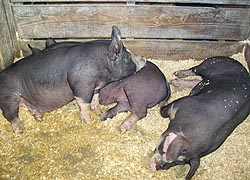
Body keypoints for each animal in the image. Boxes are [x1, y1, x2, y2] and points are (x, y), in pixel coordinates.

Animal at [0, 26, 145, 134]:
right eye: (127, 57)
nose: (144, 59)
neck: (102, 68)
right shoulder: (82, 85)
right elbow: (84, 103)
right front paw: (87, 121)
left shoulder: (95, 86)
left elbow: (95, 99)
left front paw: (99, 112)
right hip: (8, 95)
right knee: (9, 114)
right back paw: (20, 131)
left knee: (26, 106)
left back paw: (39, 118)